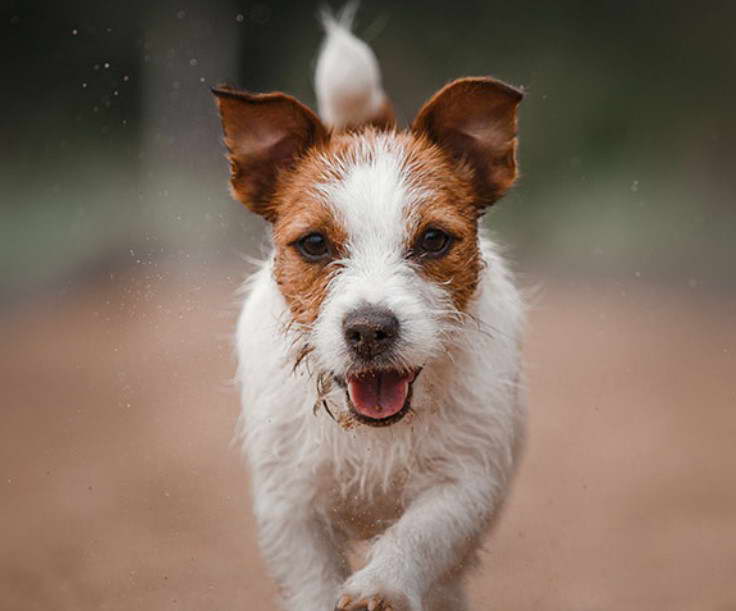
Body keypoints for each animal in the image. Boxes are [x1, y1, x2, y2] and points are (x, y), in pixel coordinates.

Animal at [210, 9, 528, 611]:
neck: (372, 437)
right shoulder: (289, 501)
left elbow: (420, 534)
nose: (369, 330)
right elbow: (311, 578)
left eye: (432, 240)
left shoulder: (464, 480)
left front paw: (382, 585)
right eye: (314, 244)